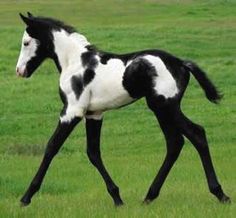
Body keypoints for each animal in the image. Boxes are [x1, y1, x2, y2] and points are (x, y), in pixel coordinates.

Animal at [15, 12, 230, 205]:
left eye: (26, 42)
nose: (19, 71)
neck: (75, 63)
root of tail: (180, 63)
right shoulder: (94, 114)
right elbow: (93, 153)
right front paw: (117, 197)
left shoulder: (71, 112)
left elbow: (51, 147)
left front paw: (26, 197)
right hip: (162, 110)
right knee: (175, 143)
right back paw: (150, 196)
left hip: (166, 107)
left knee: (196, 134)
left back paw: (220, 194)